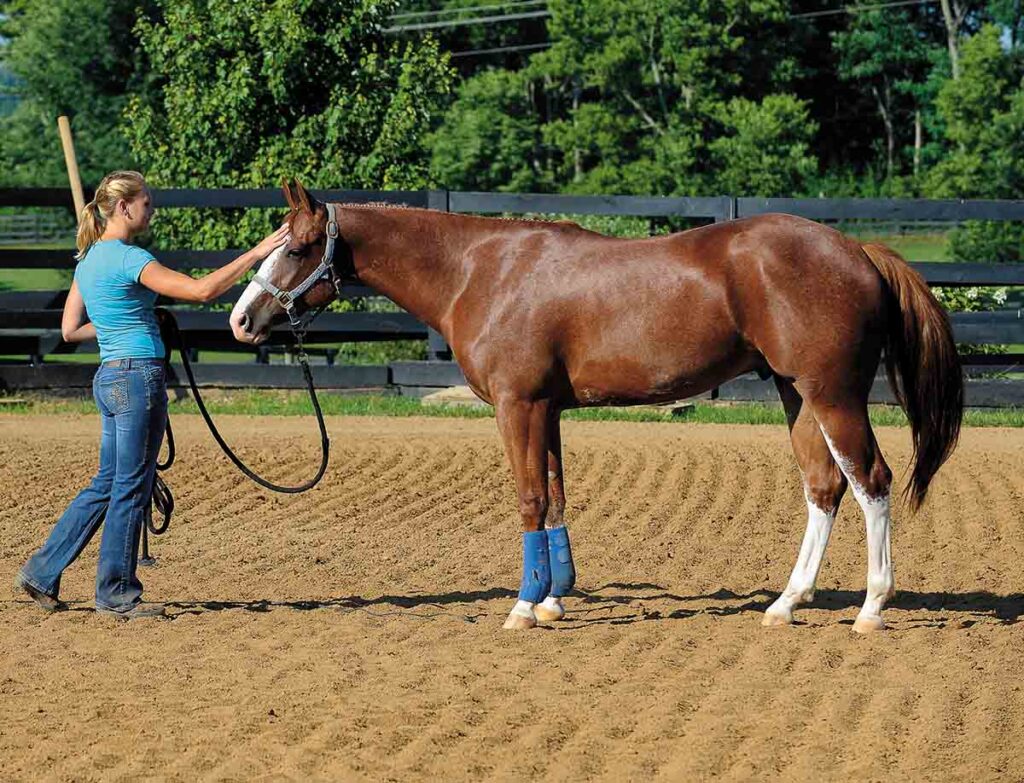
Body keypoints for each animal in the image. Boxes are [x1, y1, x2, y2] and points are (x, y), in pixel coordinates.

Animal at [229, 181, 963, 633]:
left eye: (298, 247)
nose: (240, 319)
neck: (481, 271)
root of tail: (857, 249)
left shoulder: (518, 405)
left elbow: (529, 498)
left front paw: (522, 607)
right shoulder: (548, 409)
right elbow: (555, 496)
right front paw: (554, 598)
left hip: (832, 393)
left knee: (871, 482)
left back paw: (871, 607)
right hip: (796, 394)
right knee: (823, 486)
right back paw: (786, 602)